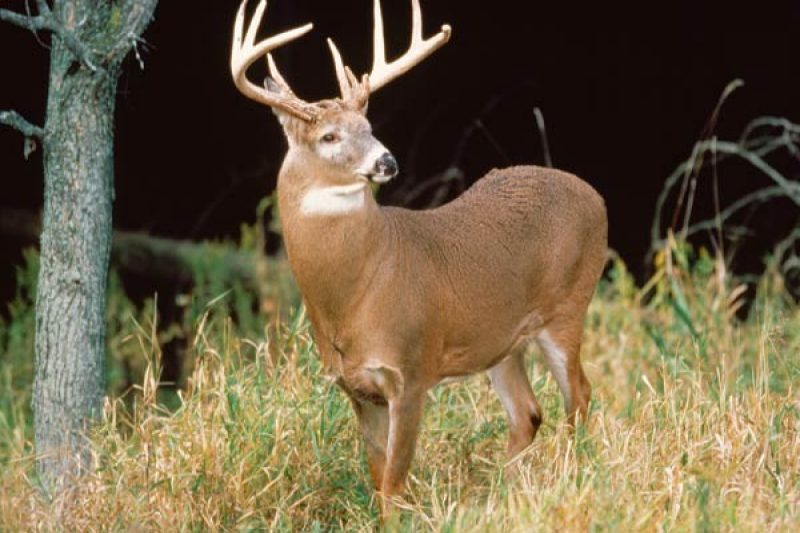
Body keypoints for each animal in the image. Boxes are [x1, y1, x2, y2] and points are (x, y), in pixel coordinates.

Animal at [231, 0, 608, 514]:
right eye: (329, 136)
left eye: (369, 127)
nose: (386, 161)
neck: (352, 298)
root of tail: (597, 198)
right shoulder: (356, 386)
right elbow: (376, 477)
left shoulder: (411, 370)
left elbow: (394, 483)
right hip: (501, 340)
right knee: (528, 413)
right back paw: (500, 496)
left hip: (568, 306)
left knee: (580, 397)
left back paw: (570, 477)